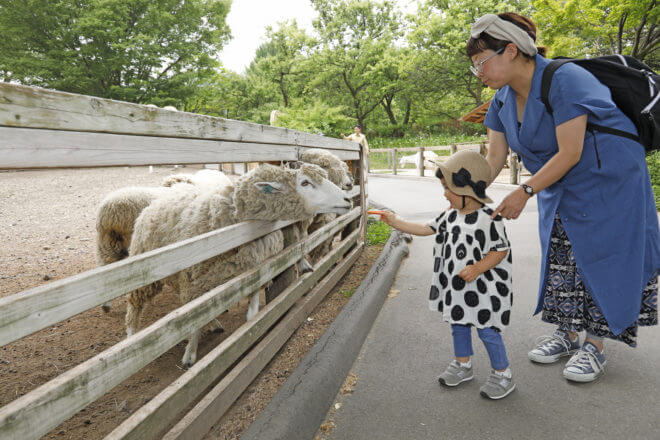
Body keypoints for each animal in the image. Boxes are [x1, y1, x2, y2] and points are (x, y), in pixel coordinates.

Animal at [124, 163, 350, 366]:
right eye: (305, 183)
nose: (348, 199)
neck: (230, 216)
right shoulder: (193, 282)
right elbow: (194, 323)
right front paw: (190, 356)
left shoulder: (253, 272)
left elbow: (251, 314)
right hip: (145, 271)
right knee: (135, 306)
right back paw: (131, 342)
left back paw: (214, 323)